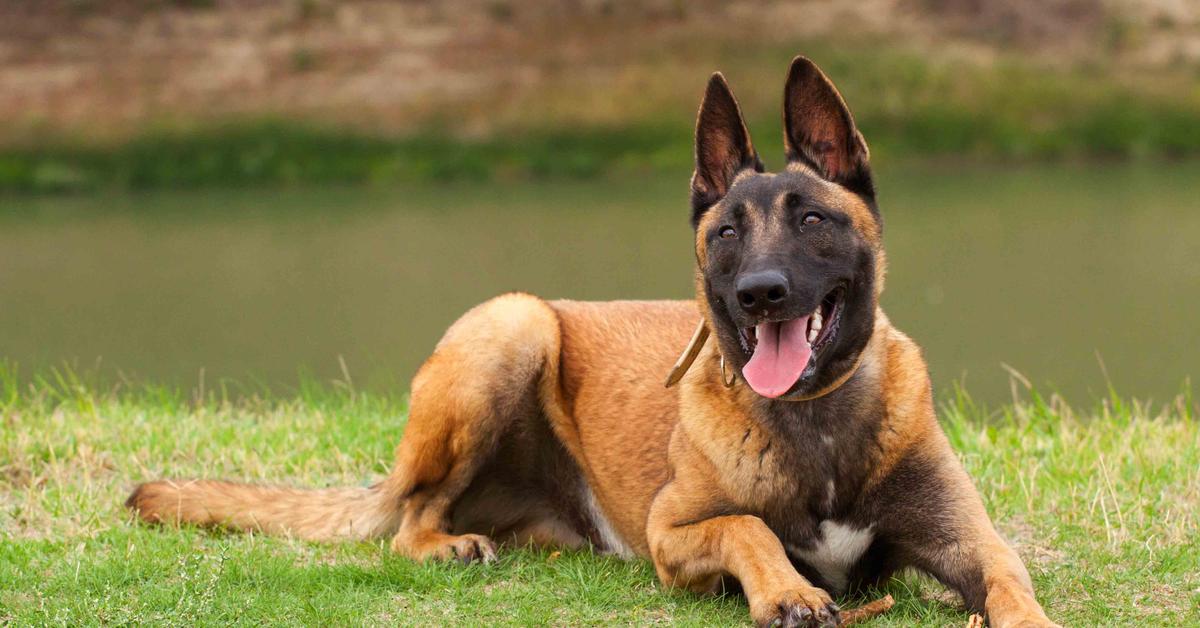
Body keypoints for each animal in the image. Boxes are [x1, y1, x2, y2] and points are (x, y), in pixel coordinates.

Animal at [126, 56, 1056, 624]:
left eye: (813, 220)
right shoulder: (673, 536)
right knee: (408, 520)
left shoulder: (972, 542)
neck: (815, 427)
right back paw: (442, 543)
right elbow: (747, 528)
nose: (758, 294)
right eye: (727, 232)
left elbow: (1010, 582)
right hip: (514, 324)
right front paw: (787, 592)